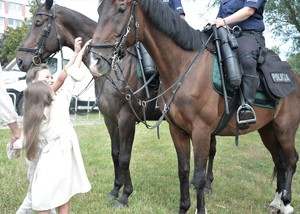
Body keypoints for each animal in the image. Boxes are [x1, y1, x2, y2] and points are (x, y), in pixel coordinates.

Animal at [15, 0, 217, 209]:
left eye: (38, 23)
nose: (20, 60)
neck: (116, 67)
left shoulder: (126, 119)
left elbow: (124, 158)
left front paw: (125, 195)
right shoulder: (110, 119)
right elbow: (115, 154)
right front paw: (115, 190)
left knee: (211, 150)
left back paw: (207, 185)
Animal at [89, 0, 300, 214]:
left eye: (121, 9)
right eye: (98, 10)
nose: (96, 60)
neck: (185, 67)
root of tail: (293, 76)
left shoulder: (199, 131)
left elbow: (197, 177)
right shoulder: (176, 131)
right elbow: (183, 171)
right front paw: (183, 207)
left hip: (285, 129)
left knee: (291, 160)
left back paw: (286, 203)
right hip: (267, 130)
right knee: (279, 161)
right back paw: (276, 201)